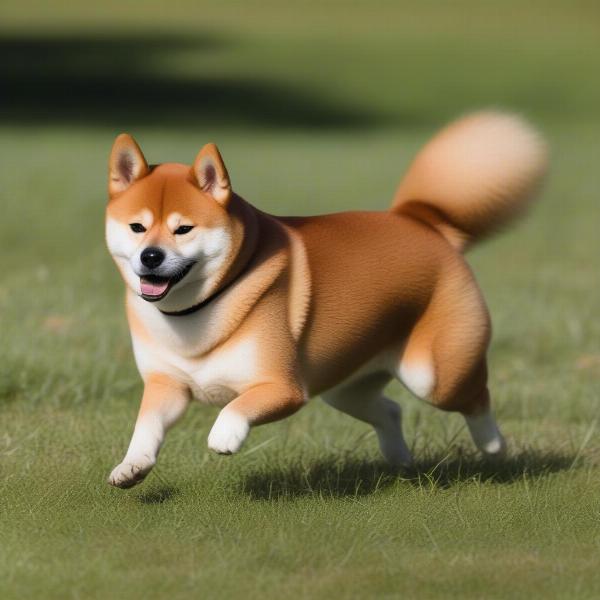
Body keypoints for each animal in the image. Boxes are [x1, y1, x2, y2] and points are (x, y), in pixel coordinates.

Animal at [105, 111, 548, 488]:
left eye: (183, 229)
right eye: (137, 227)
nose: (151, 256)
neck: (199, 309)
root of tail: (421, 220)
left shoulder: (283, 388)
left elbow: (237, 406)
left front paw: (225, 436)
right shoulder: (166, 386)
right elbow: (147, 426)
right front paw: (132, 466)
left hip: (434, 373)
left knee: (476, 397)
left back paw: (493, 446)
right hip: (346, 383)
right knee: (390, 409)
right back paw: (400, 462)